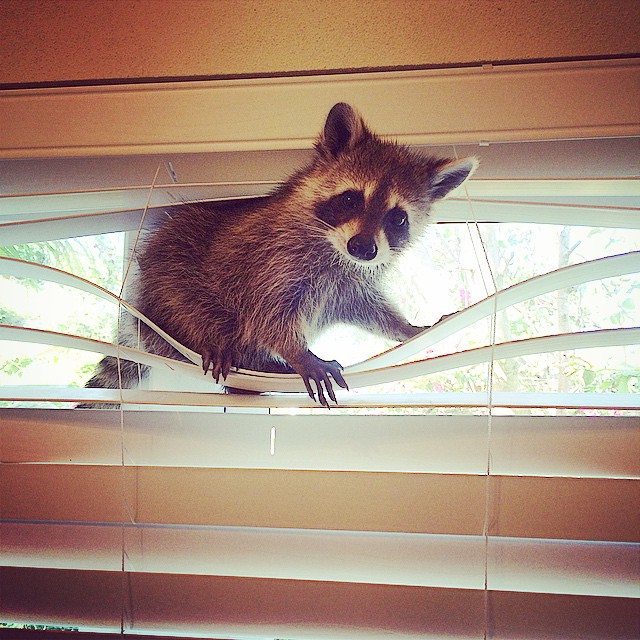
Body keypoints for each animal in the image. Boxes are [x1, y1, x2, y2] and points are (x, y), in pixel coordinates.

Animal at [81, 103, 477, 407]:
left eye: (398, 218)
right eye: (351, 199)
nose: (364, 248)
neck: (335, 249)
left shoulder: (348, 283)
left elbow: (368, 308)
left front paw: (406, 327)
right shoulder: (272, 257)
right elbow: (269, 314)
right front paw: (299, 353)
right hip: (168, 276)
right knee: (190, 301)